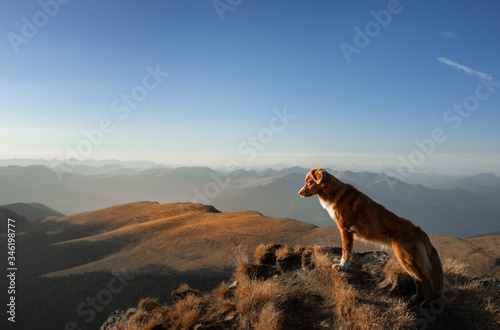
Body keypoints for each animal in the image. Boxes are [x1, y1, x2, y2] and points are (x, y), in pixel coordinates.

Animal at [298, 168, 444, 306]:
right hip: (407, 260)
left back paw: (426, 303)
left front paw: (342, 266)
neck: (333, 192)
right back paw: (417, 297)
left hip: (405, 257)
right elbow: (345, 251)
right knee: (418, 279)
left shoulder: (345, 230)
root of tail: (418, 230)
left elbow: (346, 250)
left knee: (425, 280)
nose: (299, 193)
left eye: (309, 182)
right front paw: (340, 262)